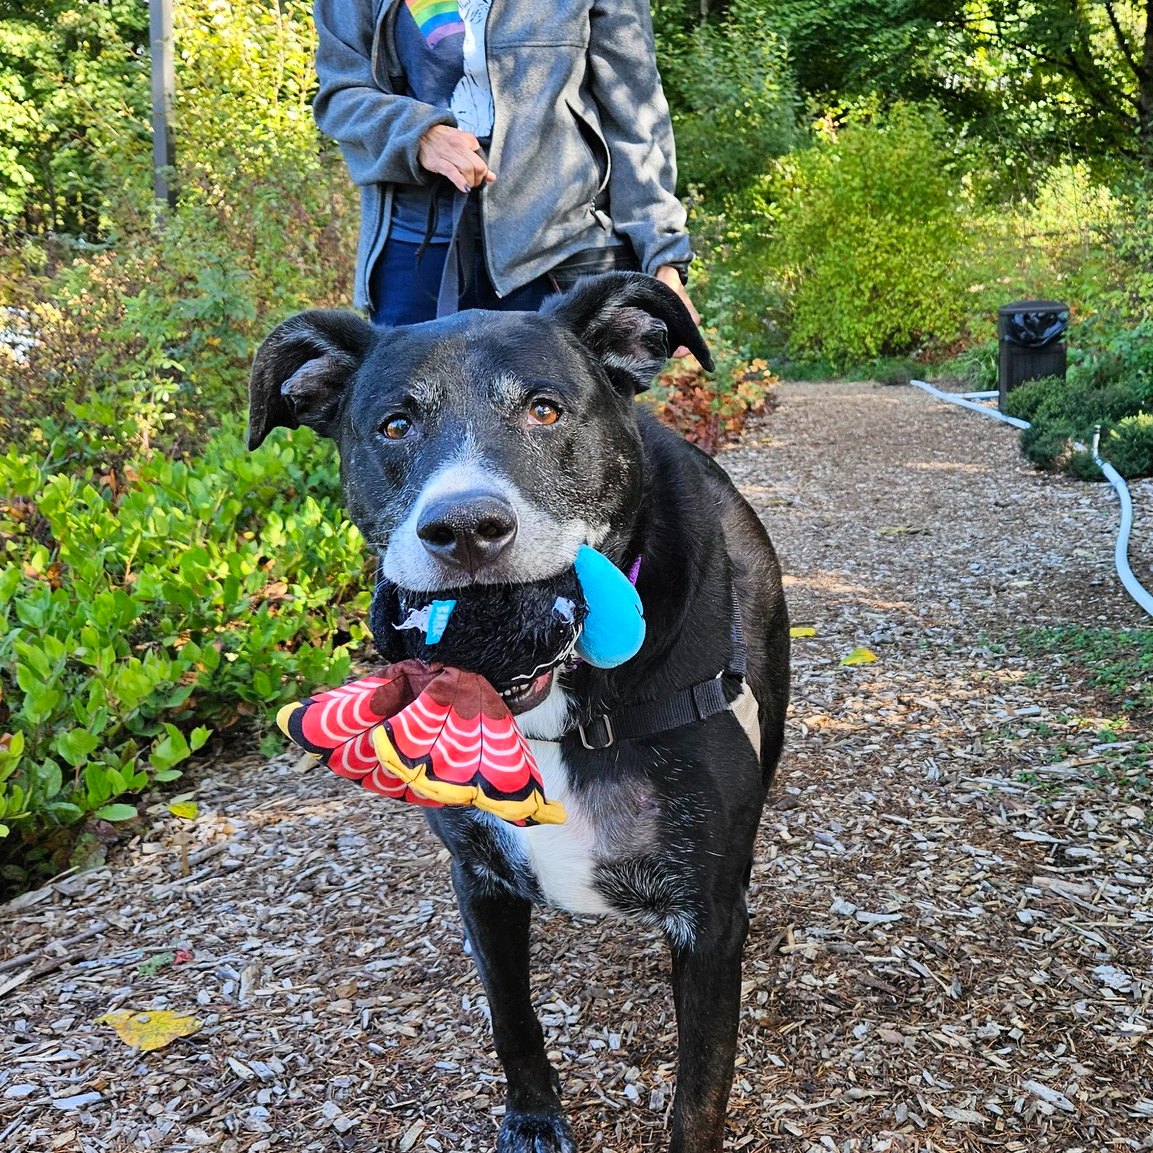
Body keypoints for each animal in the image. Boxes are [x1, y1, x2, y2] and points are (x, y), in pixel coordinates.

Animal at [247, 274, 788, 1148]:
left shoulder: (706, 919)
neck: (560, 711)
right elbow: (510, 1017)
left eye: (543, 409)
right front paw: (533, 1116)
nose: (465, 527)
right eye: (395, 425)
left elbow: (699, 1089)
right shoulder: (480, 880)